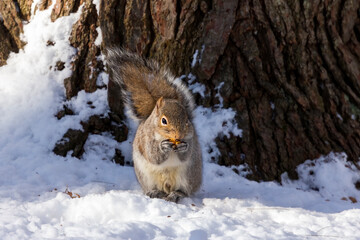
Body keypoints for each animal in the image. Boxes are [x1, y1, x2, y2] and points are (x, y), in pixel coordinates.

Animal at [107, 47, 202, 202]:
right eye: (163, 120)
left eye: (187, 119)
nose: (179, 135)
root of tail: (167, 187)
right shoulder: (146, 139)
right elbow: (153, 156)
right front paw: (163, 147)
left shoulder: (191, 138)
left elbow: (187, 154)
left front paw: (183, 147)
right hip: (146, 177)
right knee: (154, 188)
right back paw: (155, 192)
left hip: (188, 176)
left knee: (184, 190)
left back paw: (176, 194)